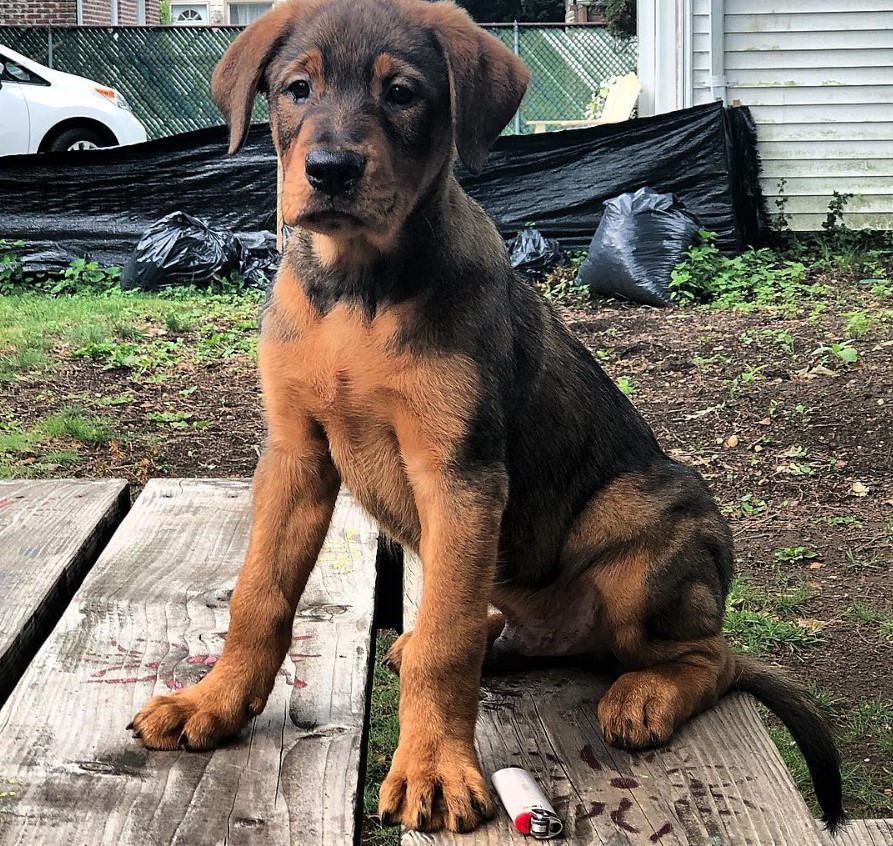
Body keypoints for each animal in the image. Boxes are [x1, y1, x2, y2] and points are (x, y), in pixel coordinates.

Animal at [125, 0, 844, 836]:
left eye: (401, 94)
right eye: (297, 88)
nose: (330, 170)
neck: (356, 289)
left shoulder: (459, 471)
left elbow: (446, 640)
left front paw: (435, 768)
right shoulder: (295, 455)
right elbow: (259, 596)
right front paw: (212, 701)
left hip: (647, 525)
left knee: (709, 655)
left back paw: (644, 694)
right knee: (505, 628)